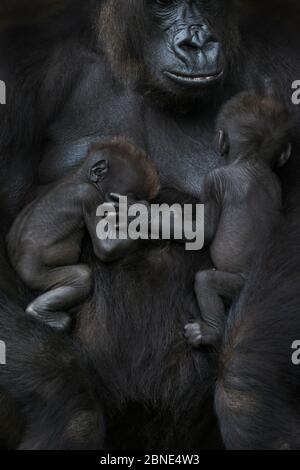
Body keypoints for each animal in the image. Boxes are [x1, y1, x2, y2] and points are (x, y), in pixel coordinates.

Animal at [7, 139, 159, 330]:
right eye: (130, 197)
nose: (134, 205)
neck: (79, 177)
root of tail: (17, 266)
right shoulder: (90, 197)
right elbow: (106, 249)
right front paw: (142, 219)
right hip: (35, 274)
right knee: (81, 277)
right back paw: (41, 313)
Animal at [185, 92, 292, 346]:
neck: (251, 160)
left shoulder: (213, 179)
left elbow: (204, 232)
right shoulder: (276, 184)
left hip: (238, 284)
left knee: (205, 280)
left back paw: (209, 332)